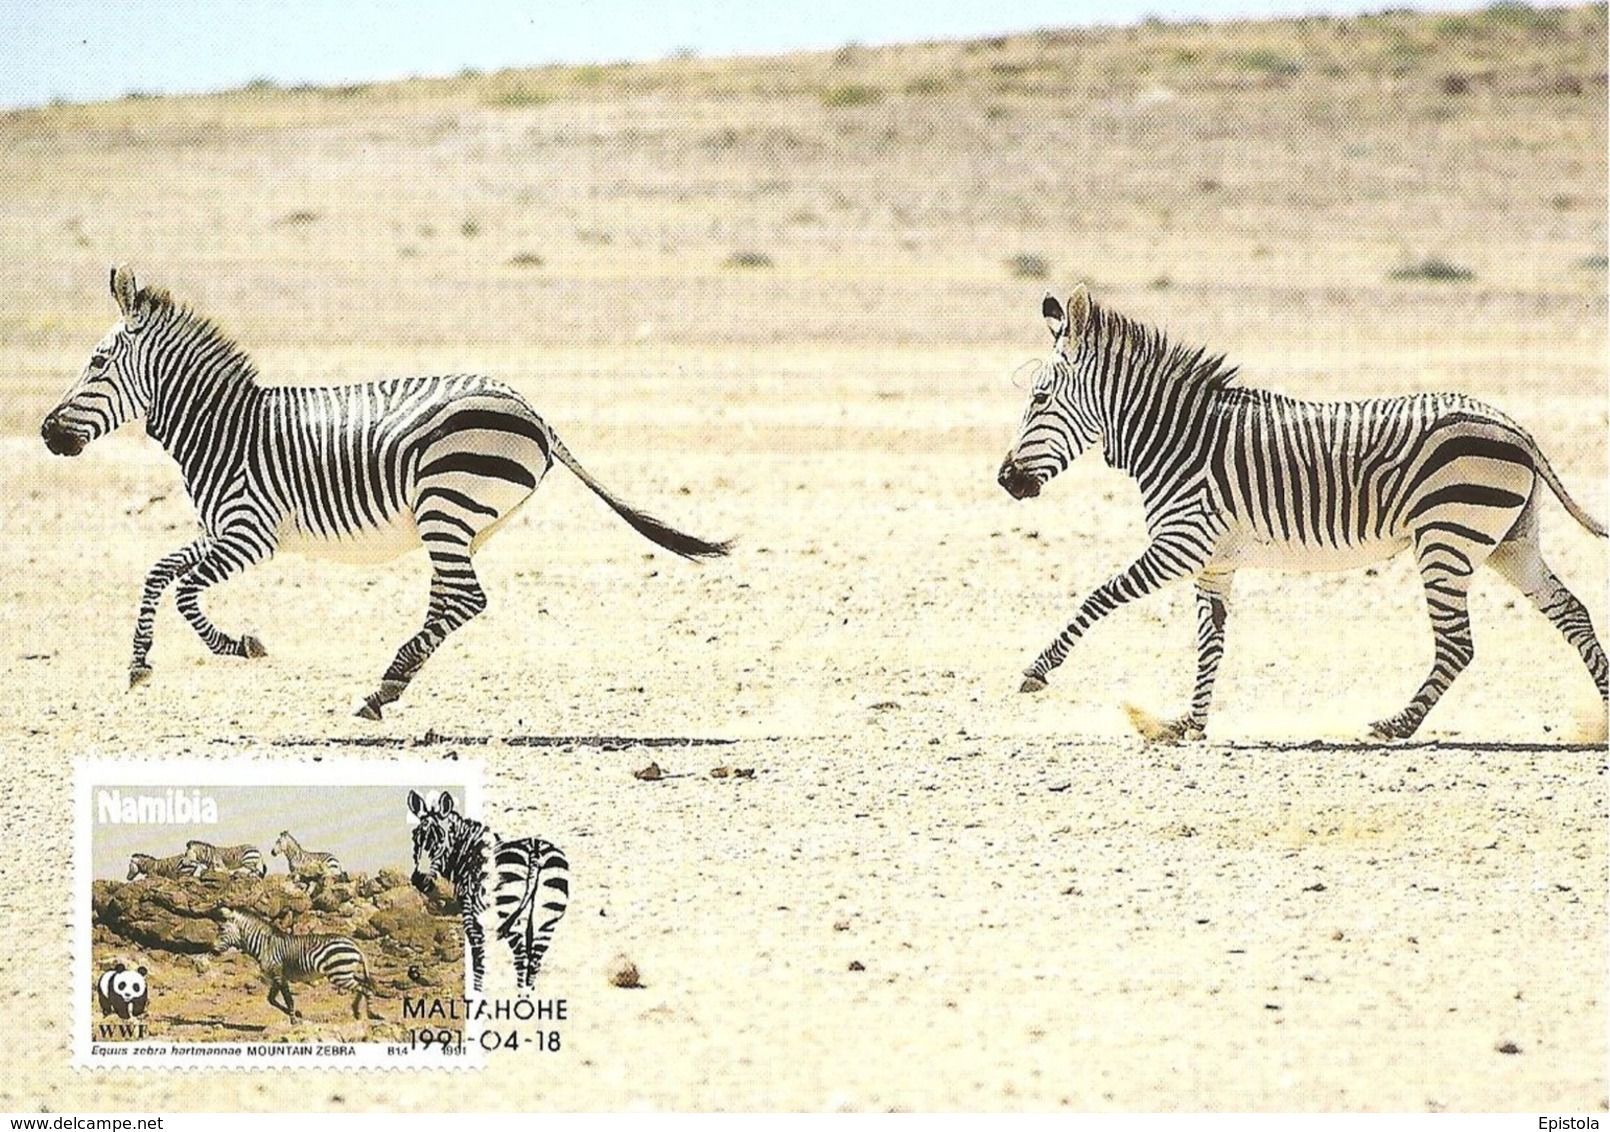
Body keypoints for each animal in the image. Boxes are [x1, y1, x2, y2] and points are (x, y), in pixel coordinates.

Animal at [39, 265, 730, 718]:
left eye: (97, 362)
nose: (46, 434)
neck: (224, 428)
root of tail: (529, 407)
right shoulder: (221, 532)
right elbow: (160, 574)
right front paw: (141, 664)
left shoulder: (251, 533)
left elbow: (180, 590)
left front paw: (238, 646)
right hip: (462, 522)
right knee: (449, 600)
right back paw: (390, 685)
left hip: (445, 505)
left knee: (466, 599)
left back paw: (380, 688)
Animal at [214, 908, 376, 1024]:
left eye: (221, 929)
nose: (213, 950)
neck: (265, 945)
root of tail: (354, 944)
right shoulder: (277, 977)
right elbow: (272, 1000)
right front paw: (296, 1015)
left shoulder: (279, 975)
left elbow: (288, 999)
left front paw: (294, 1019)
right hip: (346, 973)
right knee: (364, 985)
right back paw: (357, 1011)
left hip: (340, 975)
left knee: (366, 988)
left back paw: (369, 1014)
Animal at [408, 789, 573, 991]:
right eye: (415, 837)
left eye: (440, 840)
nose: (419, 880)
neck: (469, 853)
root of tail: (534, 853)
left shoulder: (471, 914)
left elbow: (478, 959)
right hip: (546, 917)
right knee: (533, 961)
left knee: (520, 959)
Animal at [998, 288, 1603, 740]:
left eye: (1041, 399)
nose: (1006, 480)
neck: (1177, 439)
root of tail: (1511, 424)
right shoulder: (1214, 561)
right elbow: (1211, 642)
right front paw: (1189, 723)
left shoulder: (1181, 545)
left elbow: (1099, 597)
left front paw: (1036, 671)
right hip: (1508, 542)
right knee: (1571, 612)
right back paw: (1603, 713)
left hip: (1445, 539)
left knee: (1459, 644)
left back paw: (1395, 725)